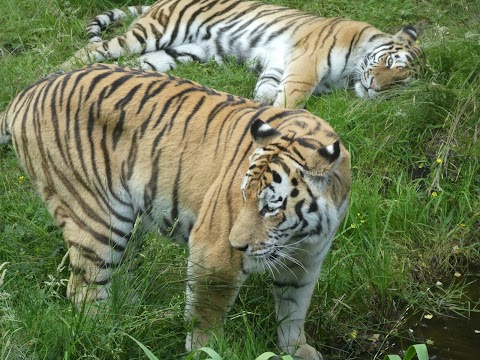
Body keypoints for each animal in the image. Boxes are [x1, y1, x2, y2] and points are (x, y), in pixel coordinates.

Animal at [0, 63, 352, 358]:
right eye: (243, 197)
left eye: (270, 207)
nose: (237, 245)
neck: (302, 235)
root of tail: (26, 93)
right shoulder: (213, 256)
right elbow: (205, 316)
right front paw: (207, 352)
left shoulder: (307, 262)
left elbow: (293, 309)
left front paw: (296, 349)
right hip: (97, 217)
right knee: (83, 289)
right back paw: (108, 335)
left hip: (128, 225)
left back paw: (133, 314)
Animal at [61, 0, 424, 107]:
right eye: (388, 62)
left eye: (398, 83)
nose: (375, 87)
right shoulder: (306, 65)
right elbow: (292, 98)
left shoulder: (279, 66)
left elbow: (267, 90)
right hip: (154, 32)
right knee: (94, 48)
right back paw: (59, 73)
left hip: (178, 53)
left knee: (132, 64)